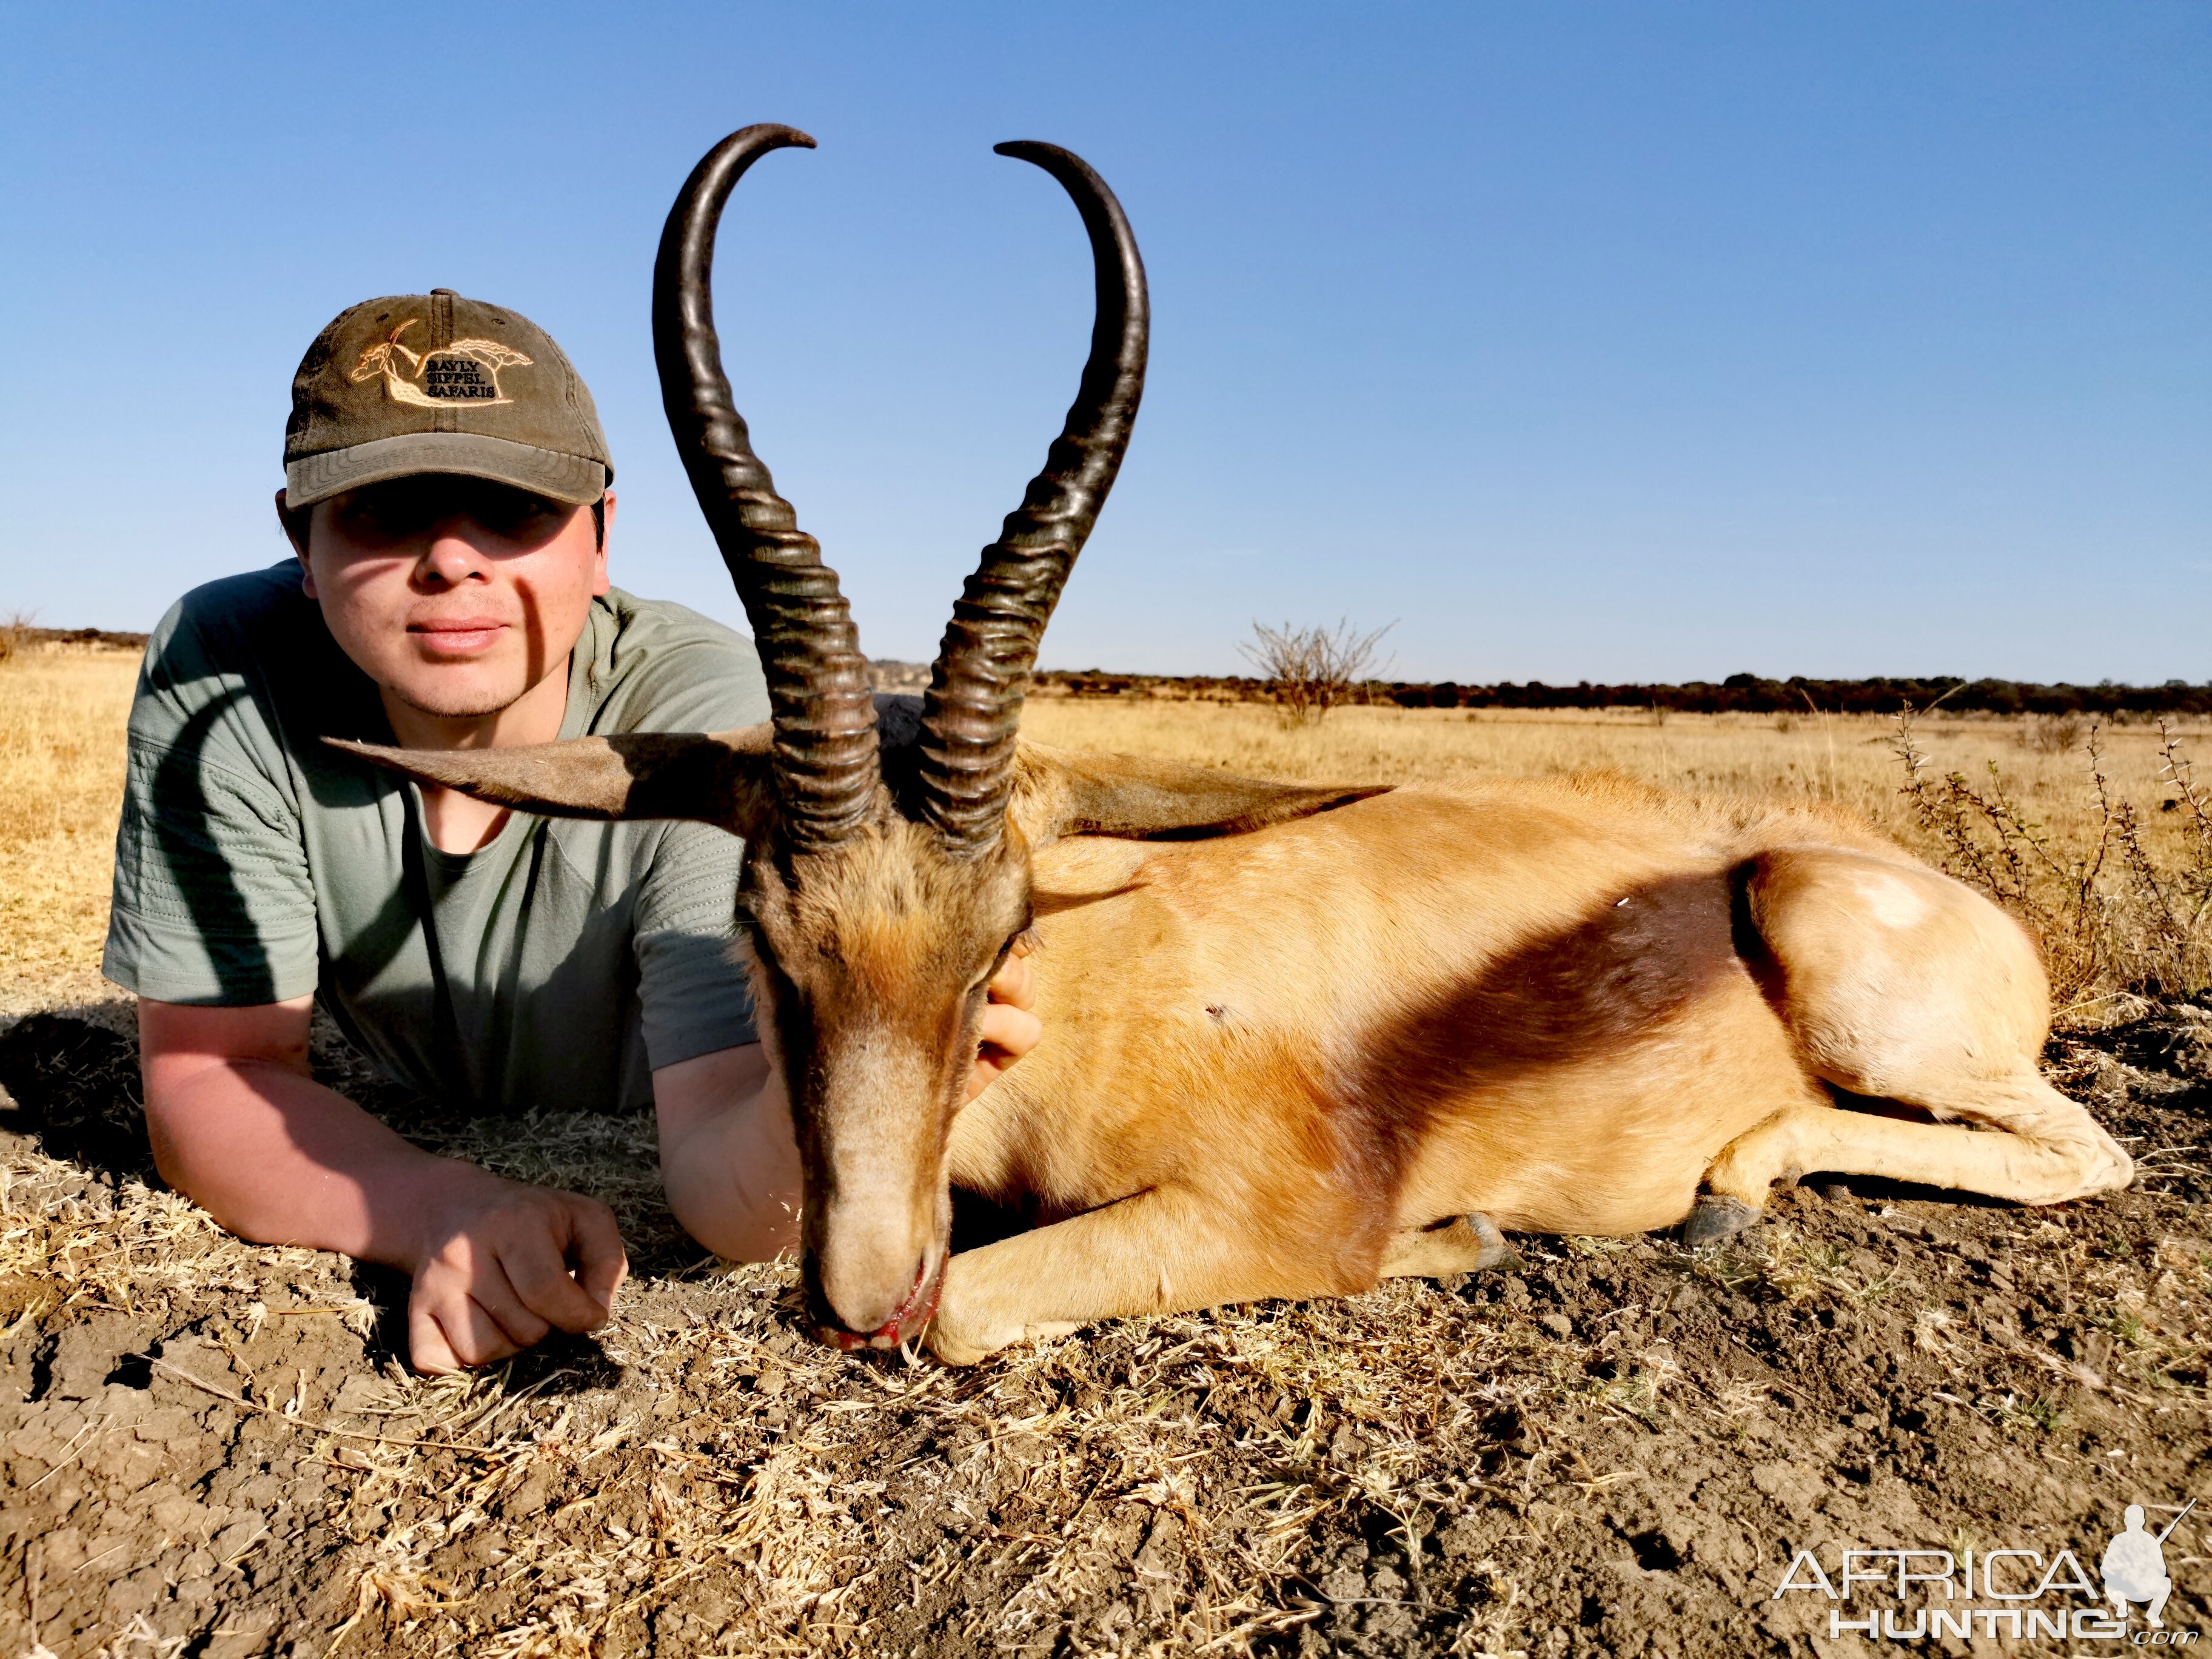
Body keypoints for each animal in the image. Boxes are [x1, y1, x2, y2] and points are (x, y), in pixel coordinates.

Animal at [340, 126, 2123, 1362]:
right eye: (763, 942)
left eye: (1003, 936)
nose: (856, 1296)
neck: (1106, 1002)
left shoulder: (1257, 1204)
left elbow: (980, 1304)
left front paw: (1459, 1236)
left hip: (1825, 942)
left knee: (2085, 1153)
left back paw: (1731, 1188)